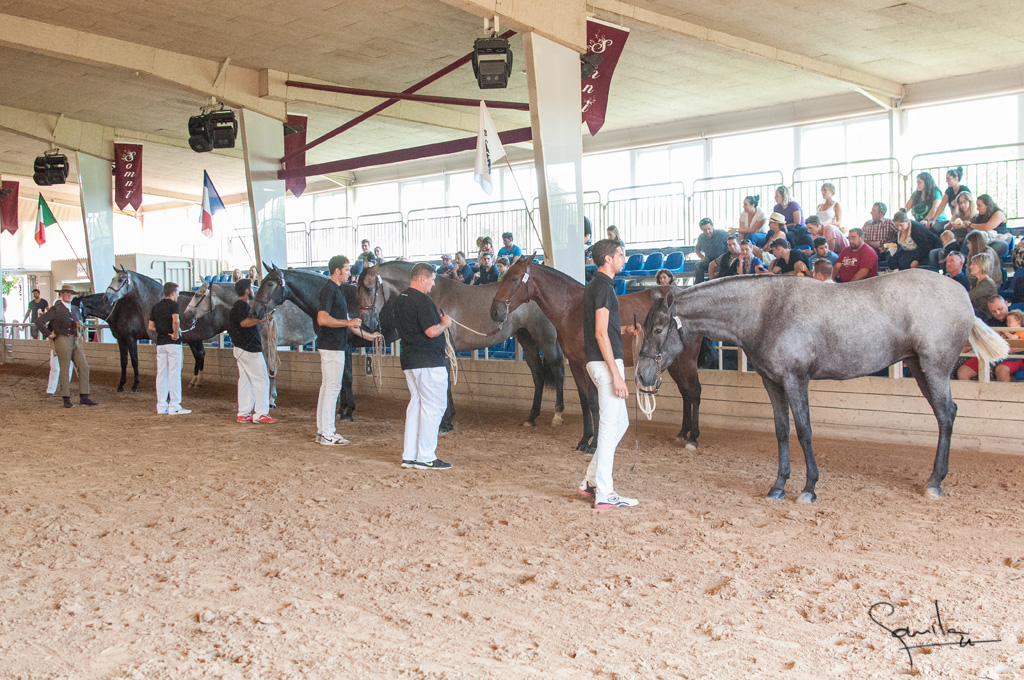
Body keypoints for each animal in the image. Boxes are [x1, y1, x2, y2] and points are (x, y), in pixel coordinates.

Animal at [491, 255, 708, 450]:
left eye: (514, 279)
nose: (495, 312)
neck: (573, 309)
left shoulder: (591, 364)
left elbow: (595, 403)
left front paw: (594, 444)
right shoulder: (575, 364)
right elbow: (584, 402)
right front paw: (584, 439)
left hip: (686, 359)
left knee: (694, 391)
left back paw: (693, 438)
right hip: (671, 362)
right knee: (685, 392)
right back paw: (682, 433)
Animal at [630, 270, 1007, 499]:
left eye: (659, 328)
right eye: (645, 326)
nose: (643, 376)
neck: (766, 311)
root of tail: (962, 295)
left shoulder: (796, 380)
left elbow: (804, 431)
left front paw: (809, 488)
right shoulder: (772, 382)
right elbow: (782, 431)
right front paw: (778, 486)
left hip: (935, 368)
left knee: (945, 416)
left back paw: (934, 483)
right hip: (919, 367)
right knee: (948, 413)